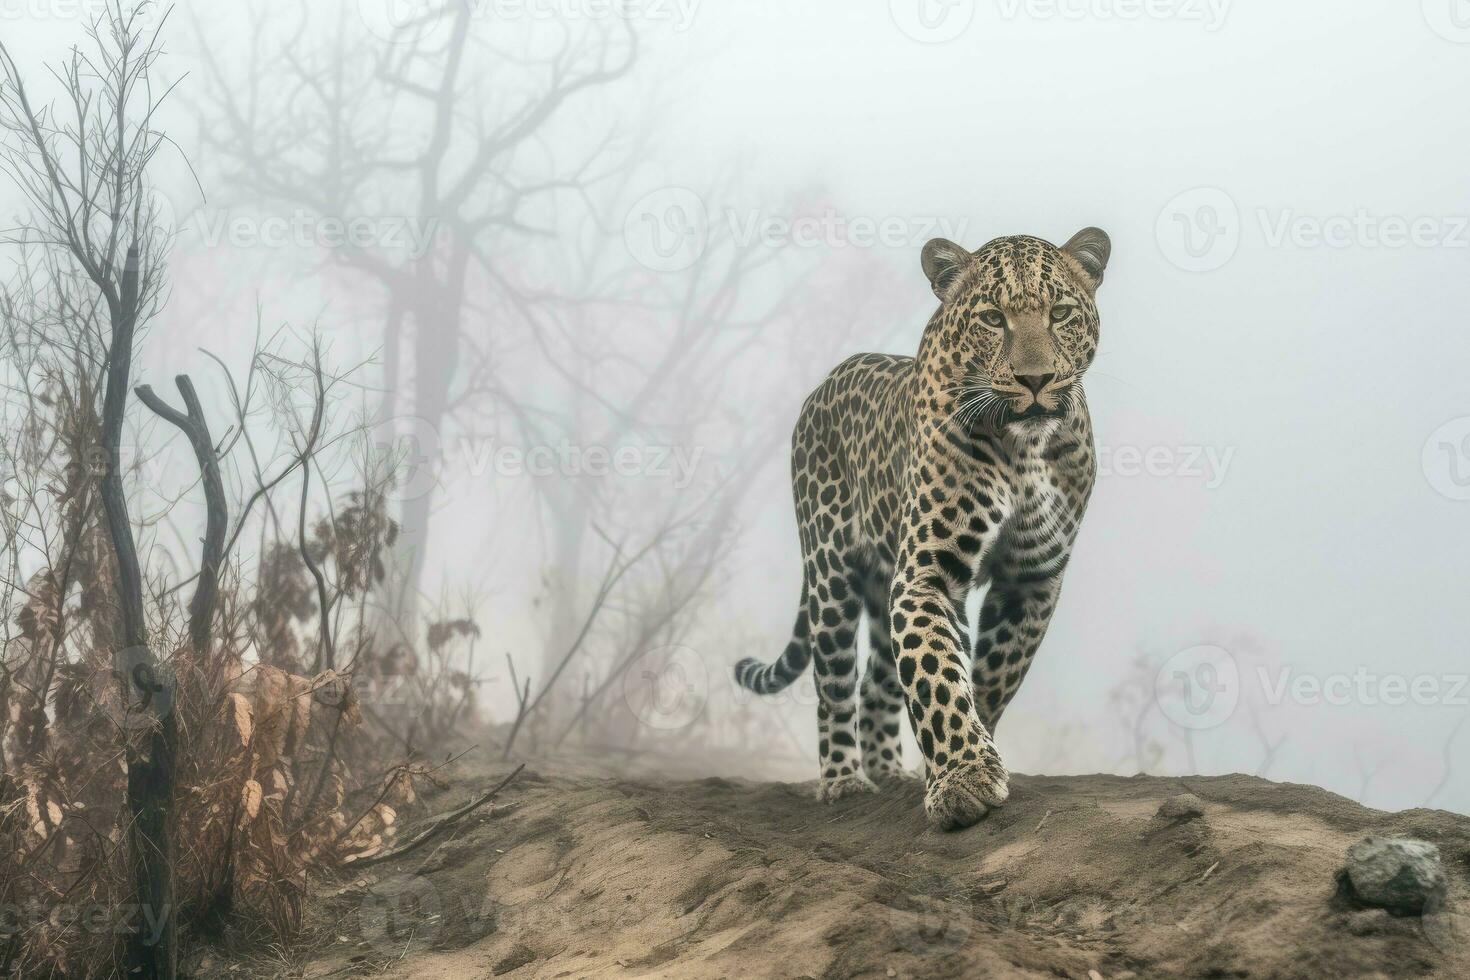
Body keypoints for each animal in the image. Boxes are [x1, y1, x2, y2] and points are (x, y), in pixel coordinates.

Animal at [729, 227, 1105, 828]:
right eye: (993, 317)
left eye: (1061, 313)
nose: (1036, 379)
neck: (1026, 449)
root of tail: (826, 381)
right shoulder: (928, 573)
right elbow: (937, 677)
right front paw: (963, 782)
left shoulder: (1031, 580)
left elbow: (985, 681)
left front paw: (956, 766)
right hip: (830, 576)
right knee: (834, 683)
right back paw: (844, 781)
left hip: (883, 584)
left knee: (877, 682)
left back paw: (888, 771)